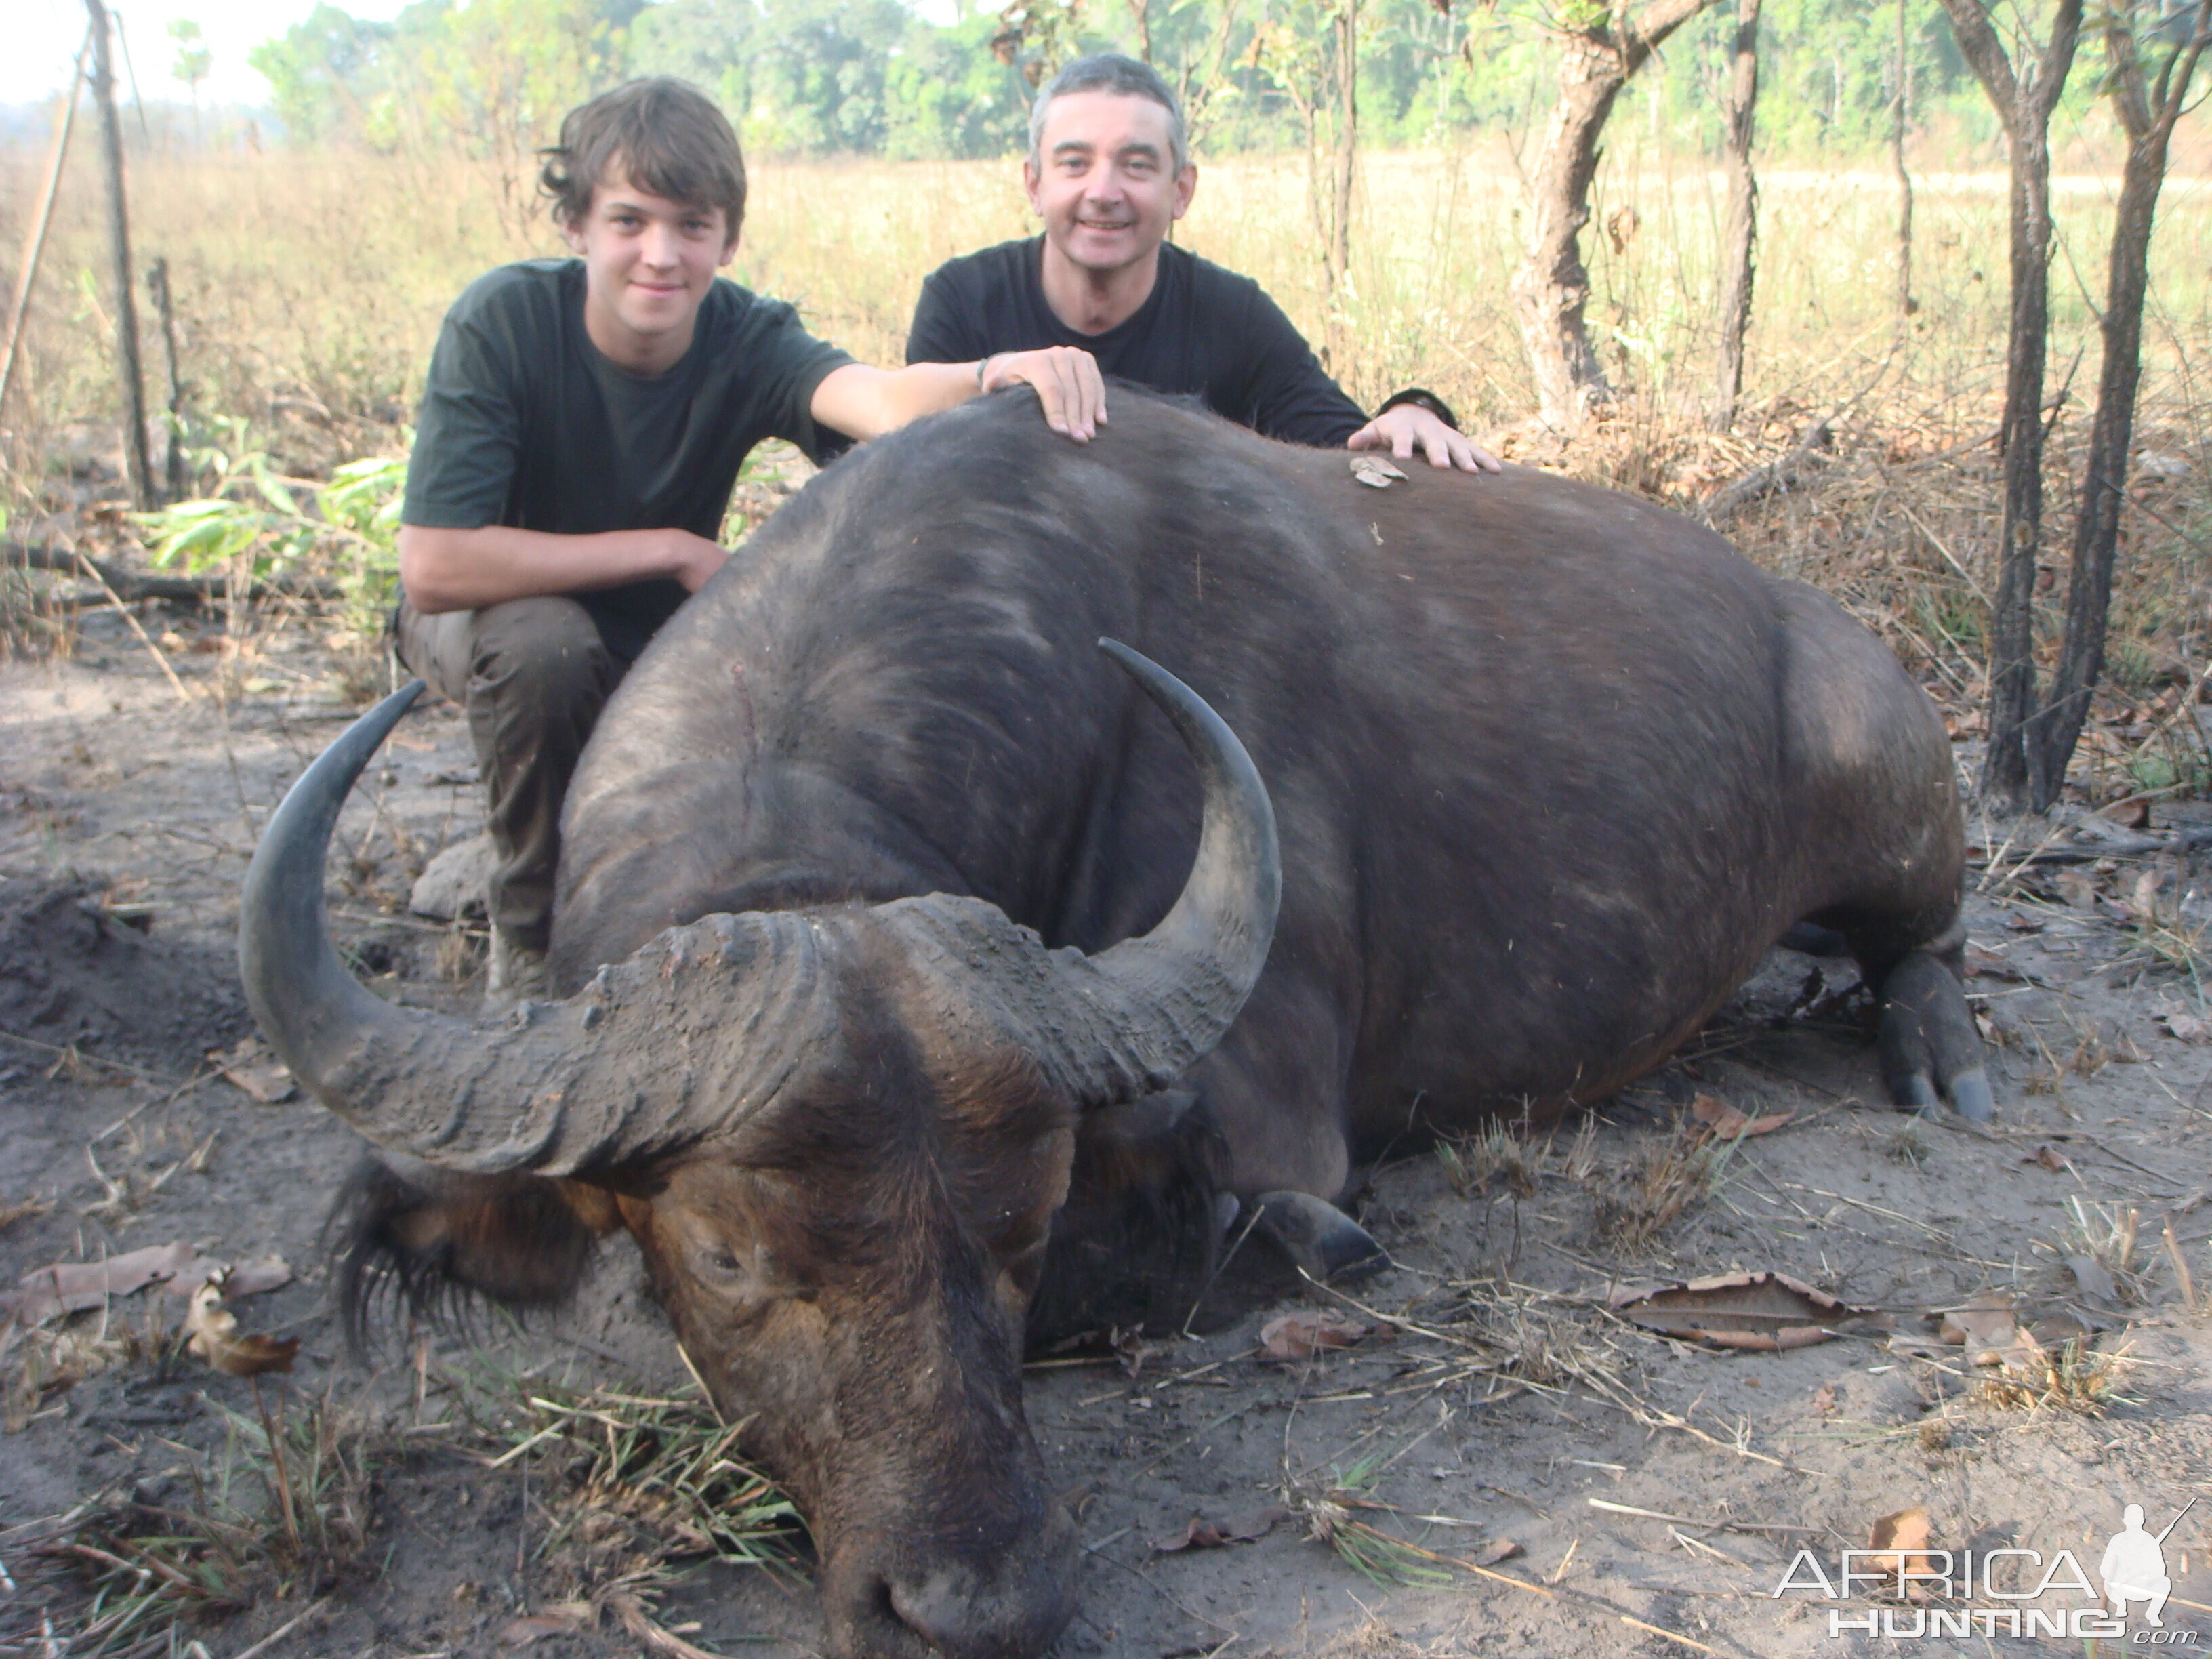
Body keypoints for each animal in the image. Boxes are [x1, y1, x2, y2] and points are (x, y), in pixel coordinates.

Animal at [242, 393, 1990, 1659]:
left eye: (1025, 1219)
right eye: (727, 1255)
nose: (978, 1610)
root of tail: (1819, 628)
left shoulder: (1273, 1128)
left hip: (1900, 818)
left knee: (1926, 940)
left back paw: (1940, 1053)